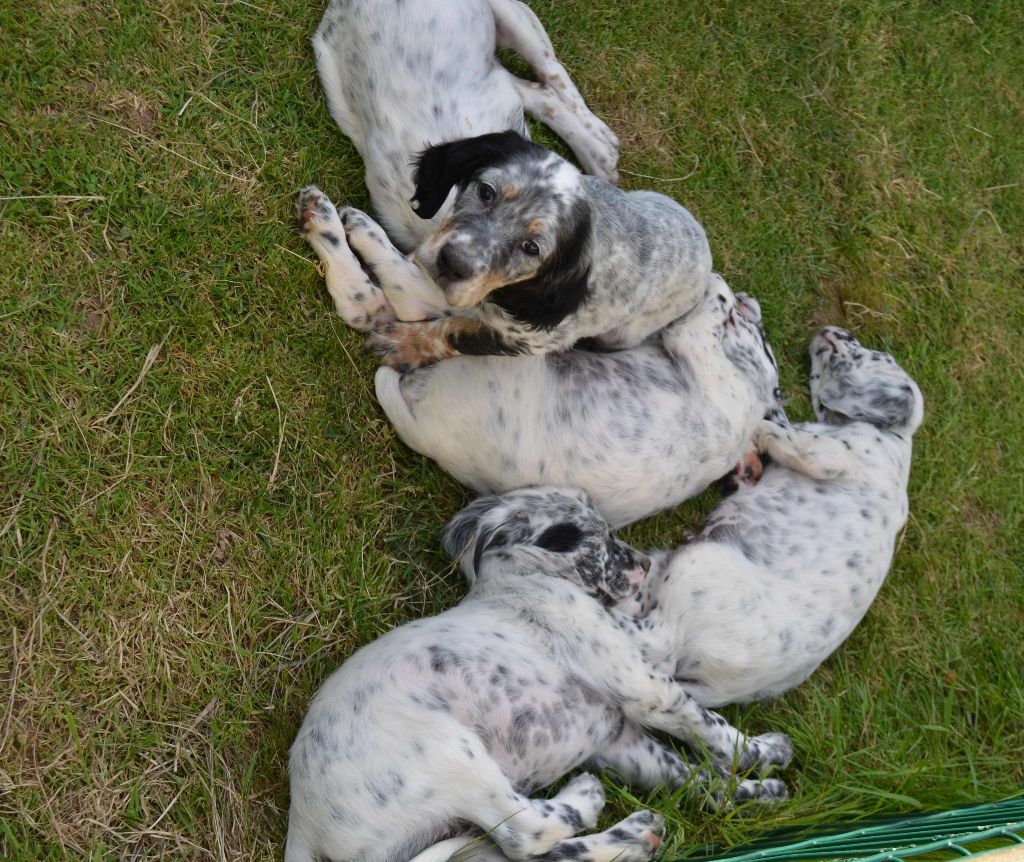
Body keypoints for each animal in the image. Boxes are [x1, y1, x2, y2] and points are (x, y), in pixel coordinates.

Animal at [284, 487, 794, 859]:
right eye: (594, 538)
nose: (645, 564)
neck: (521, 582)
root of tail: (302, 827)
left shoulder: (620, 742)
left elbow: (696, 778)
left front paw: (762, 786)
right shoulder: (645, 682)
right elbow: (712, 726)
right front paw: (762, 750)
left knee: (532, 852)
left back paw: (631, 835)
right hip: (449, 749)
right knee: (528, 832)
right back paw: (586, 800)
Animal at [296, 130, 712, 362]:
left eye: (532, 248)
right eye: (486, 191)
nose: (453, 264)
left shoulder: (528, 341)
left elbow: (452, 333)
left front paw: (404, 344)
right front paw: (342, 226)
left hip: (628, 330)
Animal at [626, 327, 925, 704]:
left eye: (878, 356)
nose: (837, 330)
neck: (893, 437)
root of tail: (719, 691)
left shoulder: (831, 456)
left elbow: (785, 435)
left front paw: (759, 429)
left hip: (700, 566)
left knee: (654, 644)